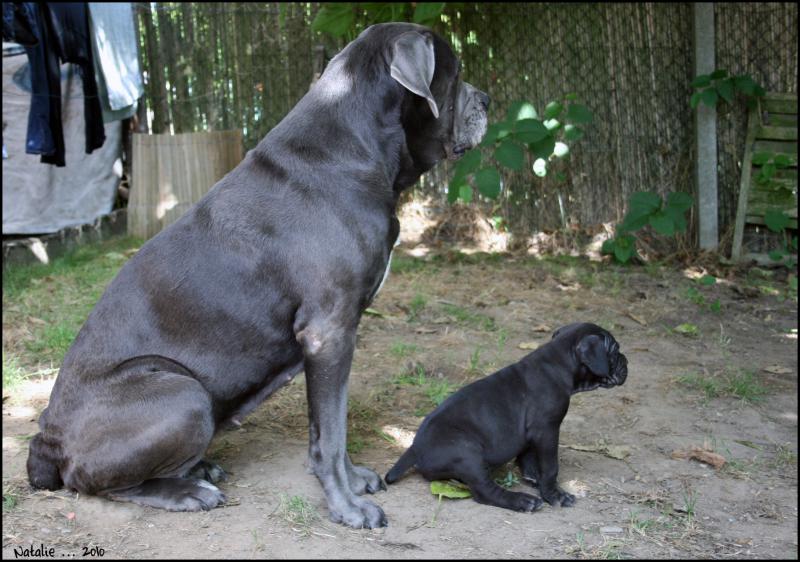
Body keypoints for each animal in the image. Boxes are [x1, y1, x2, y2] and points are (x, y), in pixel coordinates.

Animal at [26, 21, 488, 528]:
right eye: (456, 73)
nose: (486, 99)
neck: (354, 148)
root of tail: (48, 439)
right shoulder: (329, 330)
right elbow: (331, 434)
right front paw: (348, 507)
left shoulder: (334, 337)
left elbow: (331, 423)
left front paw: (354, 481)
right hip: (182, 393)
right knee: (95, 481)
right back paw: (188, 492)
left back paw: (200, 468)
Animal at [384, 322, 628, 510]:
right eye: (615, 350)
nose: (626, 361)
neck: (558, 363)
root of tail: (414, 449)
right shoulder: (547, 430)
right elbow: (551, 466)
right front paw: (554, 495)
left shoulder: (532, 432)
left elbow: (528, 456)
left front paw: (533, 477)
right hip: (467, 453)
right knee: (484, 491)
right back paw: (523, 501)